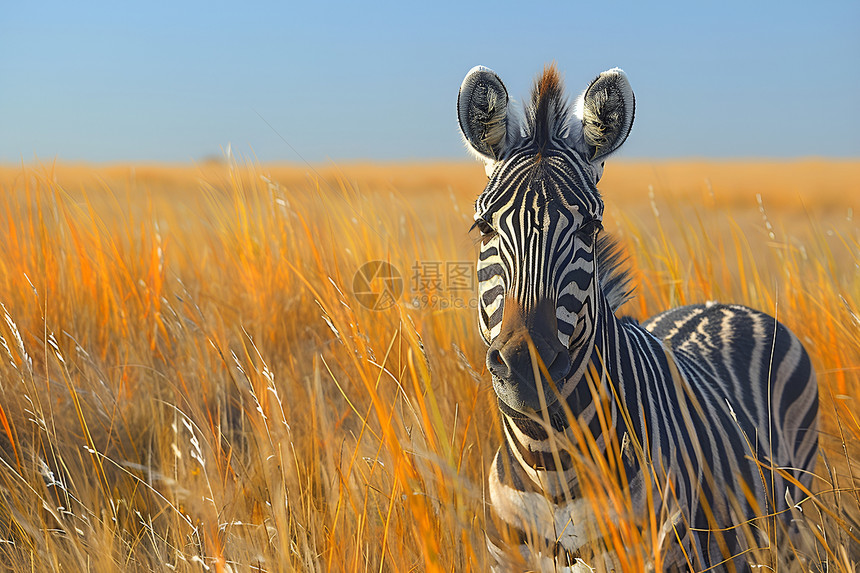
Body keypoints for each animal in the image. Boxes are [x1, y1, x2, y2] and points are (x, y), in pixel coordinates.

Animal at [456, 65, 820, 568]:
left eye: (591, 228)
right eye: (483, 227)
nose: (528, 368)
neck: (549, 466)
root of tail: (722, 305)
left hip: (792, 516)